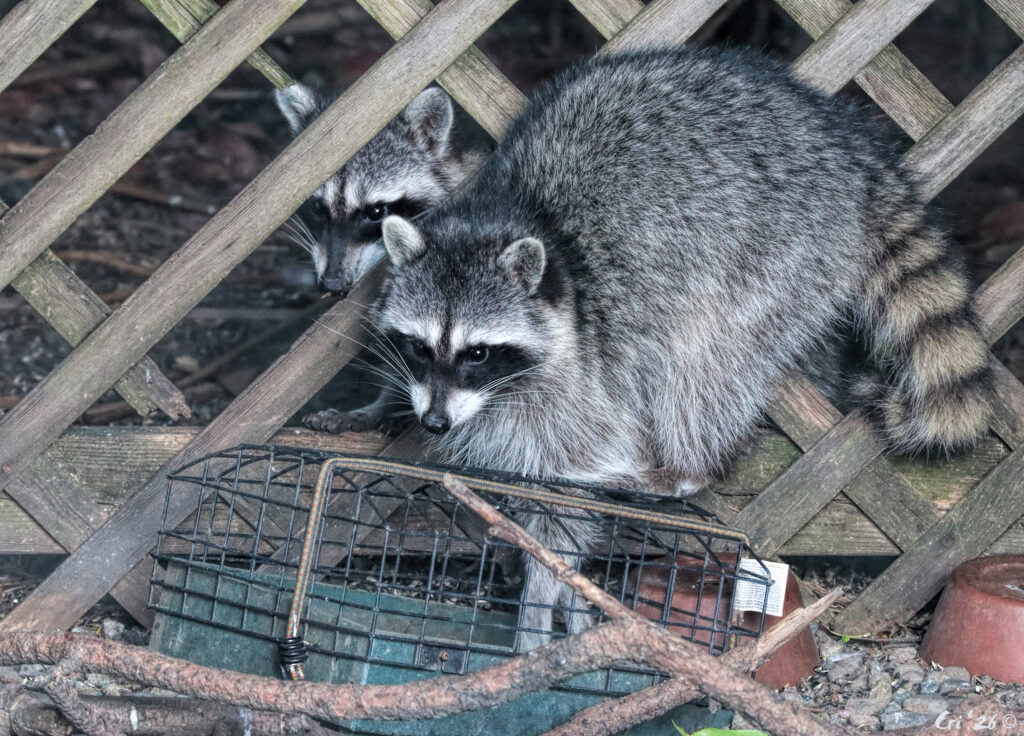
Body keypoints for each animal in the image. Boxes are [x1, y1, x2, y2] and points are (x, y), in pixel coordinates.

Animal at [370, 47, 994, 648]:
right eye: (419, 347)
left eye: (477, 352)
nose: (433, 423)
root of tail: (849, 148)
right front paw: (564, 606)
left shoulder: (590, 374)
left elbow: (571, 488)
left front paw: (542, 609)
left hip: (776, 252)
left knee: (703, 361)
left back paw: (687, 468)